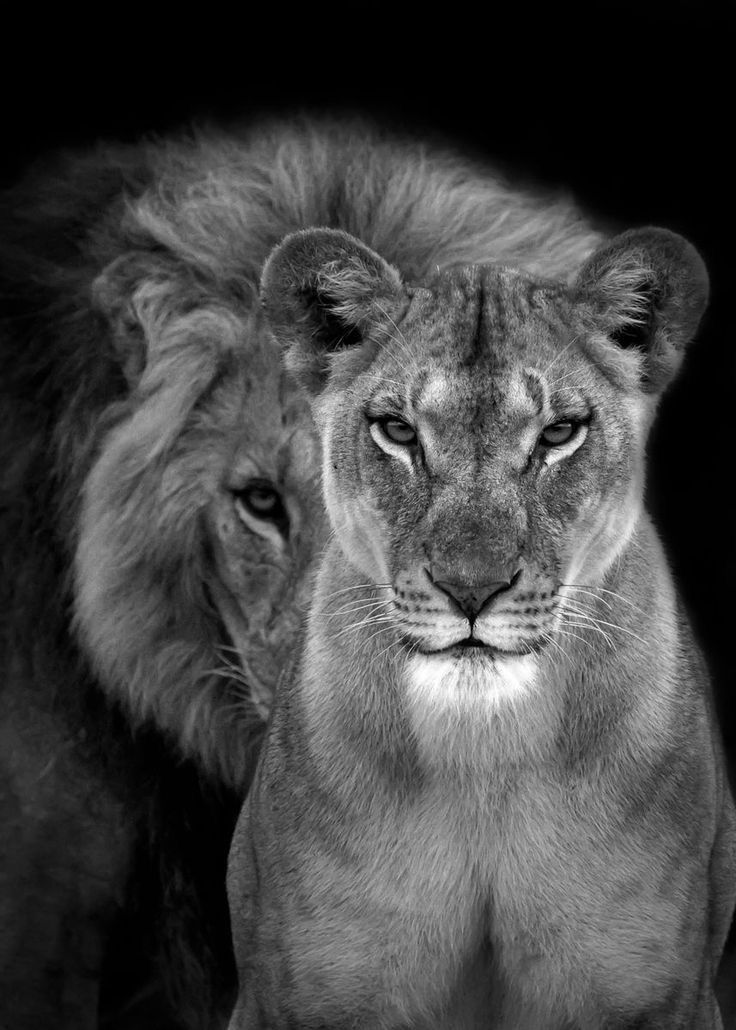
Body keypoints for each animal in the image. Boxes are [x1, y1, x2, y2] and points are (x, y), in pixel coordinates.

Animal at [227, 227, 732, 1030]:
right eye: (397, 430)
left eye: (558, 433)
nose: (471, 588)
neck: (482, 756)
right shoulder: (295, 994)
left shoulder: (662, 994)